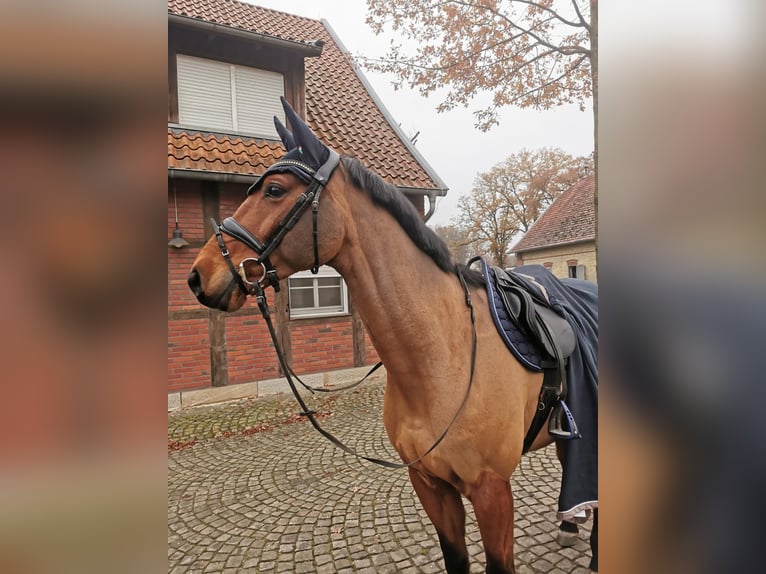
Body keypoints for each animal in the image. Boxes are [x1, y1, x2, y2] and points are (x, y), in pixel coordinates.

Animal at [189, 99, 596, 574]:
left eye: (273, 190)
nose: (199, 276)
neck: (445, 355)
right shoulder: (430, 485)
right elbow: (455, 558)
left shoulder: (492, 490)